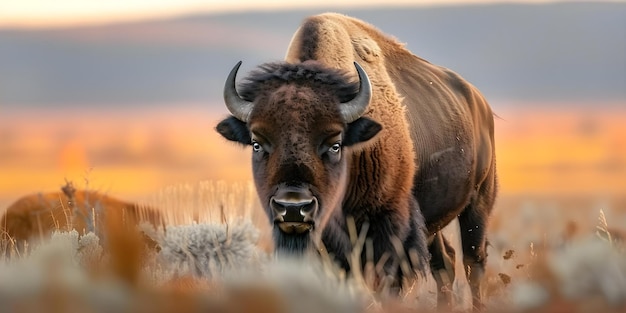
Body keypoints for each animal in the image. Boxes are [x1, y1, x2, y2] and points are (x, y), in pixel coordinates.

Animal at [217, 12, 494, 308]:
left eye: (335, 144)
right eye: (257, 143)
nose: (293, 208)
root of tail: (480, 103)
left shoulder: (388, 228)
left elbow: (387, 284)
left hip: (478, 202)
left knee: (473, 263)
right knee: (445, 263)